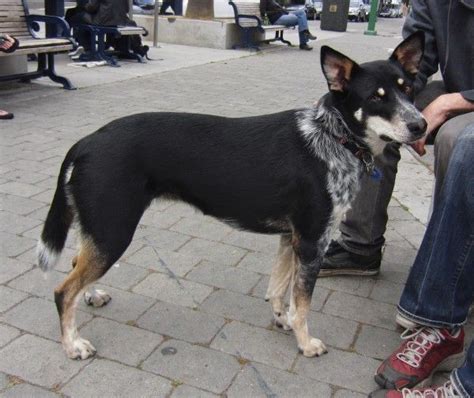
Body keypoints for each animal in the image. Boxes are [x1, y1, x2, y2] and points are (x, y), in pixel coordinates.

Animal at [37, 32, 426, 360]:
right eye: (375, 97)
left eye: (408, 89)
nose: (421, 125)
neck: (333, 136)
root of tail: (88, 141)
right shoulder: (312, 240)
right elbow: (302, 302)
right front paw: (305, 343)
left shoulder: (291, 238)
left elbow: (279, 288)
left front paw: (281, 320)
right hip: (114, 230)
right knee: (63, 291)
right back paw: (73, 344)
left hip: (100, 229)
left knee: (77, 265)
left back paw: (92, 296)